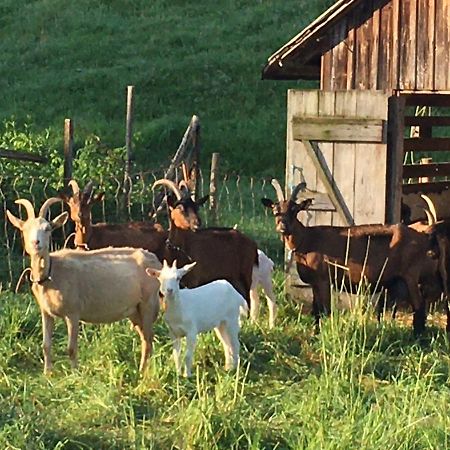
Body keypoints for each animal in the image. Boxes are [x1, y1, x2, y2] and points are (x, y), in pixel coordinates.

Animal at [7, 198, 162, 372]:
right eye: (25, 228)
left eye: (47, 228)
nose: (36, 243)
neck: (51, 273)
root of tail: (156, 261)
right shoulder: (45, 312)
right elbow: (46, 345)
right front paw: (48, 373)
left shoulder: (73, 313)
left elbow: (71, 348)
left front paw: (75, 373)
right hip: (134, 310)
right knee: (145, 337)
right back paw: (142, 369)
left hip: (148, 303)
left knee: (149, 338)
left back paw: (143, 372)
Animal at [262, 179, 442, 334]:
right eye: (275, 210)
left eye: (295, 210)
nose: (282, 226)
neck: (307, 239)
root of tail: (423, 236)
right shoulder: (314, 283)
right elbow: (315, 310)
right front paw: (315, 333)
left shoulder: (324, 279)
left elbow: (324, 310)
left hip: (411, 275)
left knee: (419, 305)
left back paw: (419, 338)